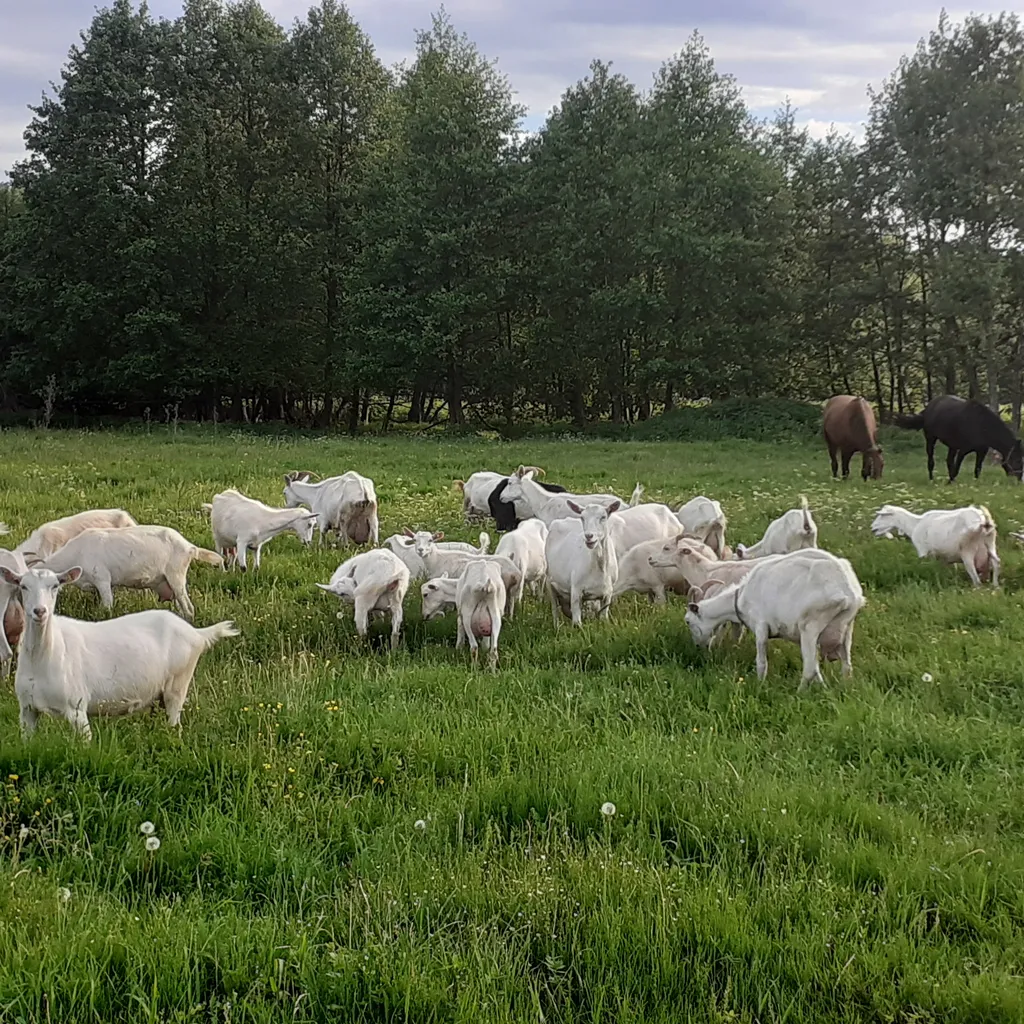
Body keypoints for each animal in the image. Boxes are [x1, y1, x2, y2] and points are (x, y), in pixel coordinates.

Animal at [3, 565, 237, 741]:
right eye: (23, 586)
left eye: (55, 586)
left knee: (174, 721)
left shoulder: (76, 706)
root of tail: (197, 633)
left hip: (178, 683)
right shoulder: (27, 709)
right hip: (158, 693)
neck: (43, 656)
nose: (40, 611)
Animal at [30, 524, 223, 618]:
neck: (77, 553)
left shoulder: (102, 579)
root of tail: (189, 547)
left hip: (176, 576)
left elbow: (107, 606)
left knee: (189, 608)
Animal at [684, 552, 868, 688]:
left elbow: (761, 662)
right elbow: (817, 668)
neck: (741, 597)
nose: (698, 646)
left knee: (808, 669)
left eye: (688, 621)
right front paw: (823, 688)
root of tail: (848, 591)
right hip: (846, 627)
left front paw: (759, 685)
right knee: (846, 666)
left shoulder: (761, 626)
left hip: (811, 626)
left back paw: (799, 693)